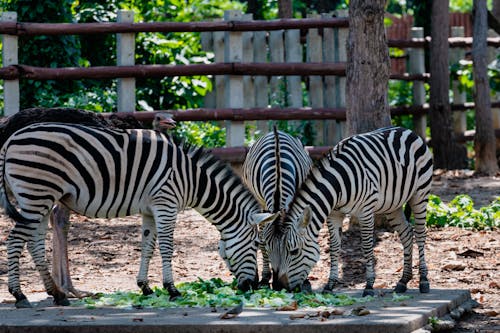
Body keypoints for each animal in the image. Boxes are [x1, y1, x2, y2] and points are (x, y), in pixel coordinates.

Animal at [0, 122, 274, 306]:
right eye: (256, 244)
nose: (251, 286)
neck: (192, 180)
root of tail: (11, 138)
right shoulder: (166, 204)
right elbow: (166, 248)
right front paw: (172, 289)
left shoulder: (150, 210)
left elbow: (147, 247)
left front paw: (145, 287)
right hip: (37, 193)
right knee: (15, 240)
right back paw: (20, 295)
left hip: (40, 198)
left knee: (34, 243)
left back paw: (56, 294)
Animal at [242, 126, 312, 288]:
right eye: (268, 246)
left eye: (288, 249)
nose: (278, 285)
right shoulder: (261, 203)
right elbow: (261, 238)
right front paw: (265, 277)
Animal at [262, 126, 434, 294]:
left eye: (294, 251)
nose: (278, 287)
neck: (336, 185)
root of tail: (407, 130)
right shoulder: (334, 214)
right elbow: (334, 247)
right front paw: (330, 284)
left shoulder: (365, 211)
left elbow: (367, 246)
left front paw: (369, 285)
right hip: (393, 205)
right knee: (406, 233)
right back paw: (403, 281)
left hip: (420, 194)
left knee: (420, 233)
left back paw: (423, 281)